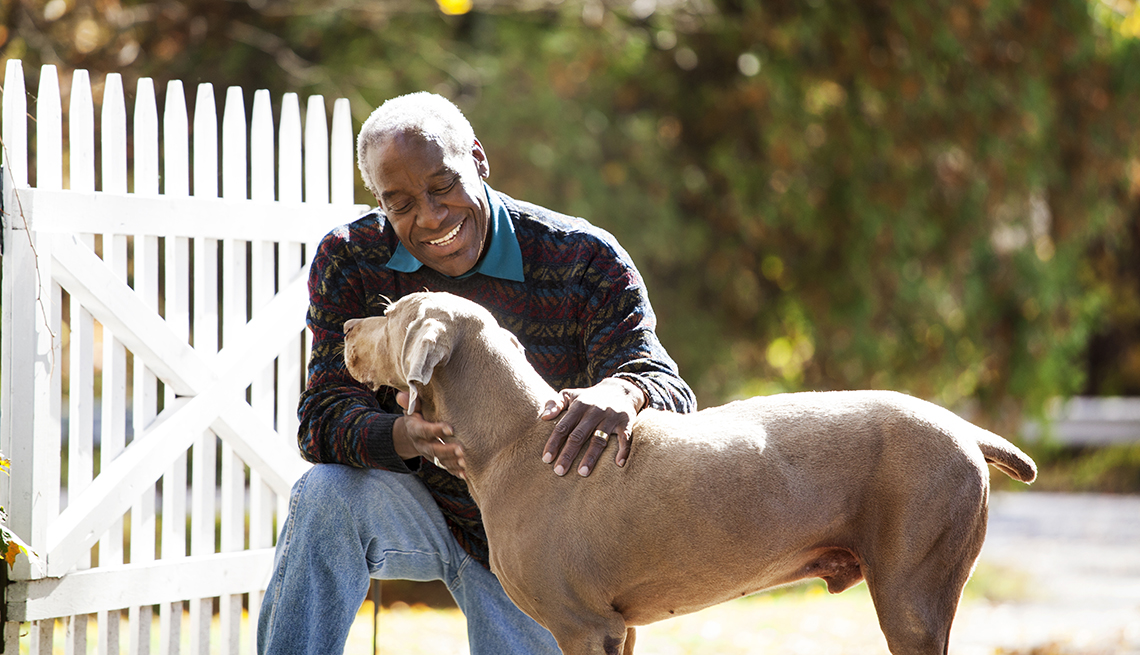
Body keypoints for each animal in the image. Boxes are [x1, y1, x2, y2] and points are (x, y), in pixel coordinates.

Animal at [337, 293, 1035, 655]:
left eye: (393, 314)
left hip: (913, 593)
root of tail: (964, 429)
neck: (516, 437)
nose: (342, 325)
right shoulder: (617, 626)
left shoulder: (582, 626)